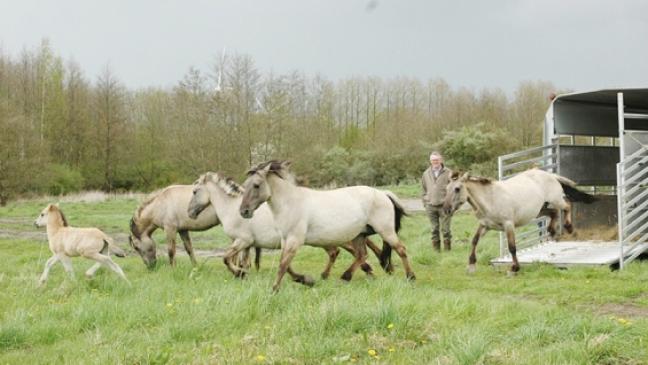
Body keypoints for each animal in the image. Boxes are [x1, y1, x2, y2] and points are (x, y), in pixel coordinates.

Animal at [239, 159, 416, 290]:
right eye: (245, 185)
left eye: (256, 185)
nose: (243, 211)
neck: (290, 203)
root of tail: (383, 193)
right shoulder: (285, 240)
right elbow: (287, 265)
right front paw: (305, 280)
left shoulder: (295, 240)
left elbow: (283, 265)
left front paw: (275, 288)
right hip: (360, 234)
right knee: (362, 255)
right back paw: (345, 277)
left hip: (385, 231)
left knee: (401, 249)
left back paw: (411, 277)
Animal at [442, 168, 596, 272]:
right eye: (446, 188)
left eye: (457, 189)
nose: (446, 209)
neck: (490, 199)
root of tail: (550, 175)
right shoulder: (485, 225)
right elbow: (474, 241)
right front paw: (471, 265)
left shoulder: (508, 225)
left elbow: (512, 247)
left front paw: (514, 268)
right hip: (540, 209)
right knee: (553, 213)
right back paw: (552, 231)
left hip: (556, 200)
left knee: (567, 206)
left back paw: (569, 228)